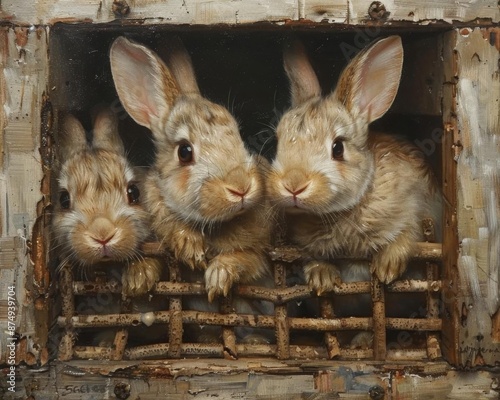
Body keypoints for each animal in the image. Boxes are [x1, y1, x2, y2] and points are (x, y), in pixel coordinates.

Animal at [109, 36, 274, 304]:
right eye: (184, 152)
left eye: (239, 135)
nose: (240, 188)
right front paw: (137, 277)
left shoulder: (261, 255)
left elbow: (249, 260)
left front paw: (218, 275)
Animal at [268, 35, 440, 296]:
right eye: (277, 142)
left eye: (338, 148)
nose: (293, 185)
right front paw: (321, 277)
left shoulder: (418, 208)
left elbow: (409, 235)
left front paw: (386, 267)